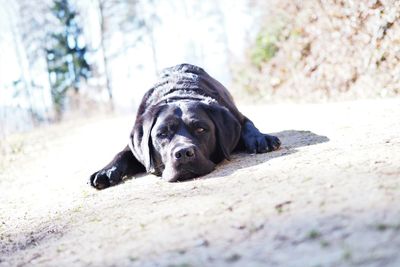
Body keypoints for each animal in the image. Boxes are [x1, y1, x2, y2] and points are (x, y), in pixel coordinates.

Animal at [90, 64, 282, 191]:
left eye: (201, 129)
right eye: (162, 134)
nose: (183, 153)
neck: (179, 94)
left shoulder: (237, 116)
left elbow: (248, 126)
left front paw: (261, 138)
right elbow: (123, 153)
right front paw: (106, 171)